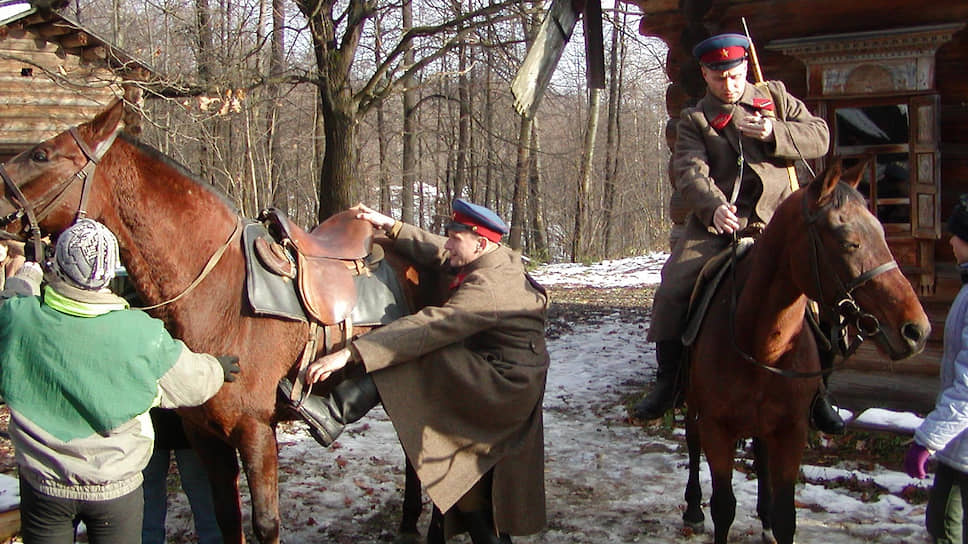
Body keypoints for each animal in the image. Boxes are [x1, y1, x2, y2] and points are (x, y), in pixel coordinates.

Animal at [0, 100, 434, 540]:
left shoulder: (255, 431)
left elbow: (265, 523)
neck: (217, 295)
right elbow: (226, 517)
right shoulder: (205, 437)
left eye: (41, 154)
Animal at [680, 162, 932, 544]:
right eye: (848, 242)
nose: (916, 330)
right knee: (693, 442)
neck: (763, 349)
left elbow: (787, 516)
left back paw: (764, 516)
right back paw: (693, 509)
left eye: (882, 233)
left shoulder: (792, 431)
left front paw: (773, 518)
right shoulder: (717, 429)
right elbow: (723, 507)